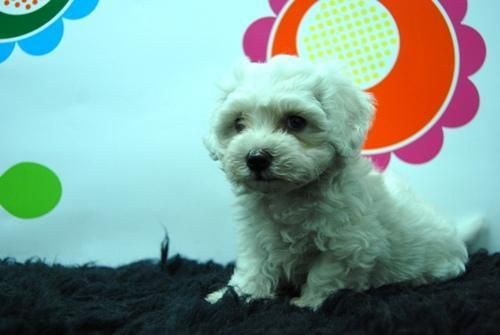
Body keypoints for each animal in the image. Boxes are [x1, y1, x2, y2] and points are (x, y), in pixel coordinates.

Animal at [204, 55, 480, 310]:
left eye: (296, 121)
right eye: (239, 123)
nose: (256, 158)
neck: (289, 196)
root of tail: (456, 236)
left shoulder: (348, 244)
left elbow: (324, 275)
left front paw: (308, 303)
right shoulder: (256, 235)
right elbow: (254, 267)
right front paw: (234, 296)